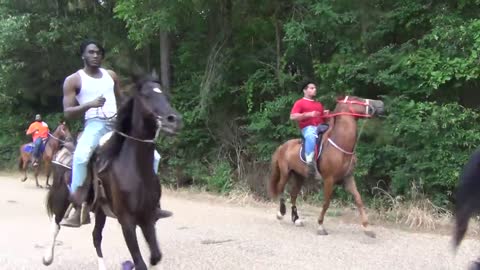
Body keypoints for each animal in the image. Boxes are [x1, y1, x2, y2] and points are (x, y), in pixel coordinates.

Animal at [42, 74, 182, 270]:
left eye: (164, 95)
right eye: (146, 96)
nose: (173, 120)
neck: (135, 168)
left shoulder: (148, 217)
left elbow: (155, 256)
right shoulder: (127, 222)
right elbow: (141, 263)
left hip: (100, 211)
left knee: (96, 237)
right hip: (62, 196)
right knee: (55, 224)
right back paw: (48, 257)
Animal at [268, 95, 384, 236]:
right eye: (357, 99)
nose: (380, 104)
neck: (340, 146)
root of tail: (282, 146)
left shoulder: (348, 178)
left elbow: (358, 200)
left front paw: (367, 228)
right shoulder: (329, 179)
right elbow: (326, 202)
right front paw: (320, 226)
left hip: (299, 176)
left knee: (293, 195)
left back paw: (296, 219)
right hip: (285, 173)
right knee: (280, 188)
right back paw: (281, 213)